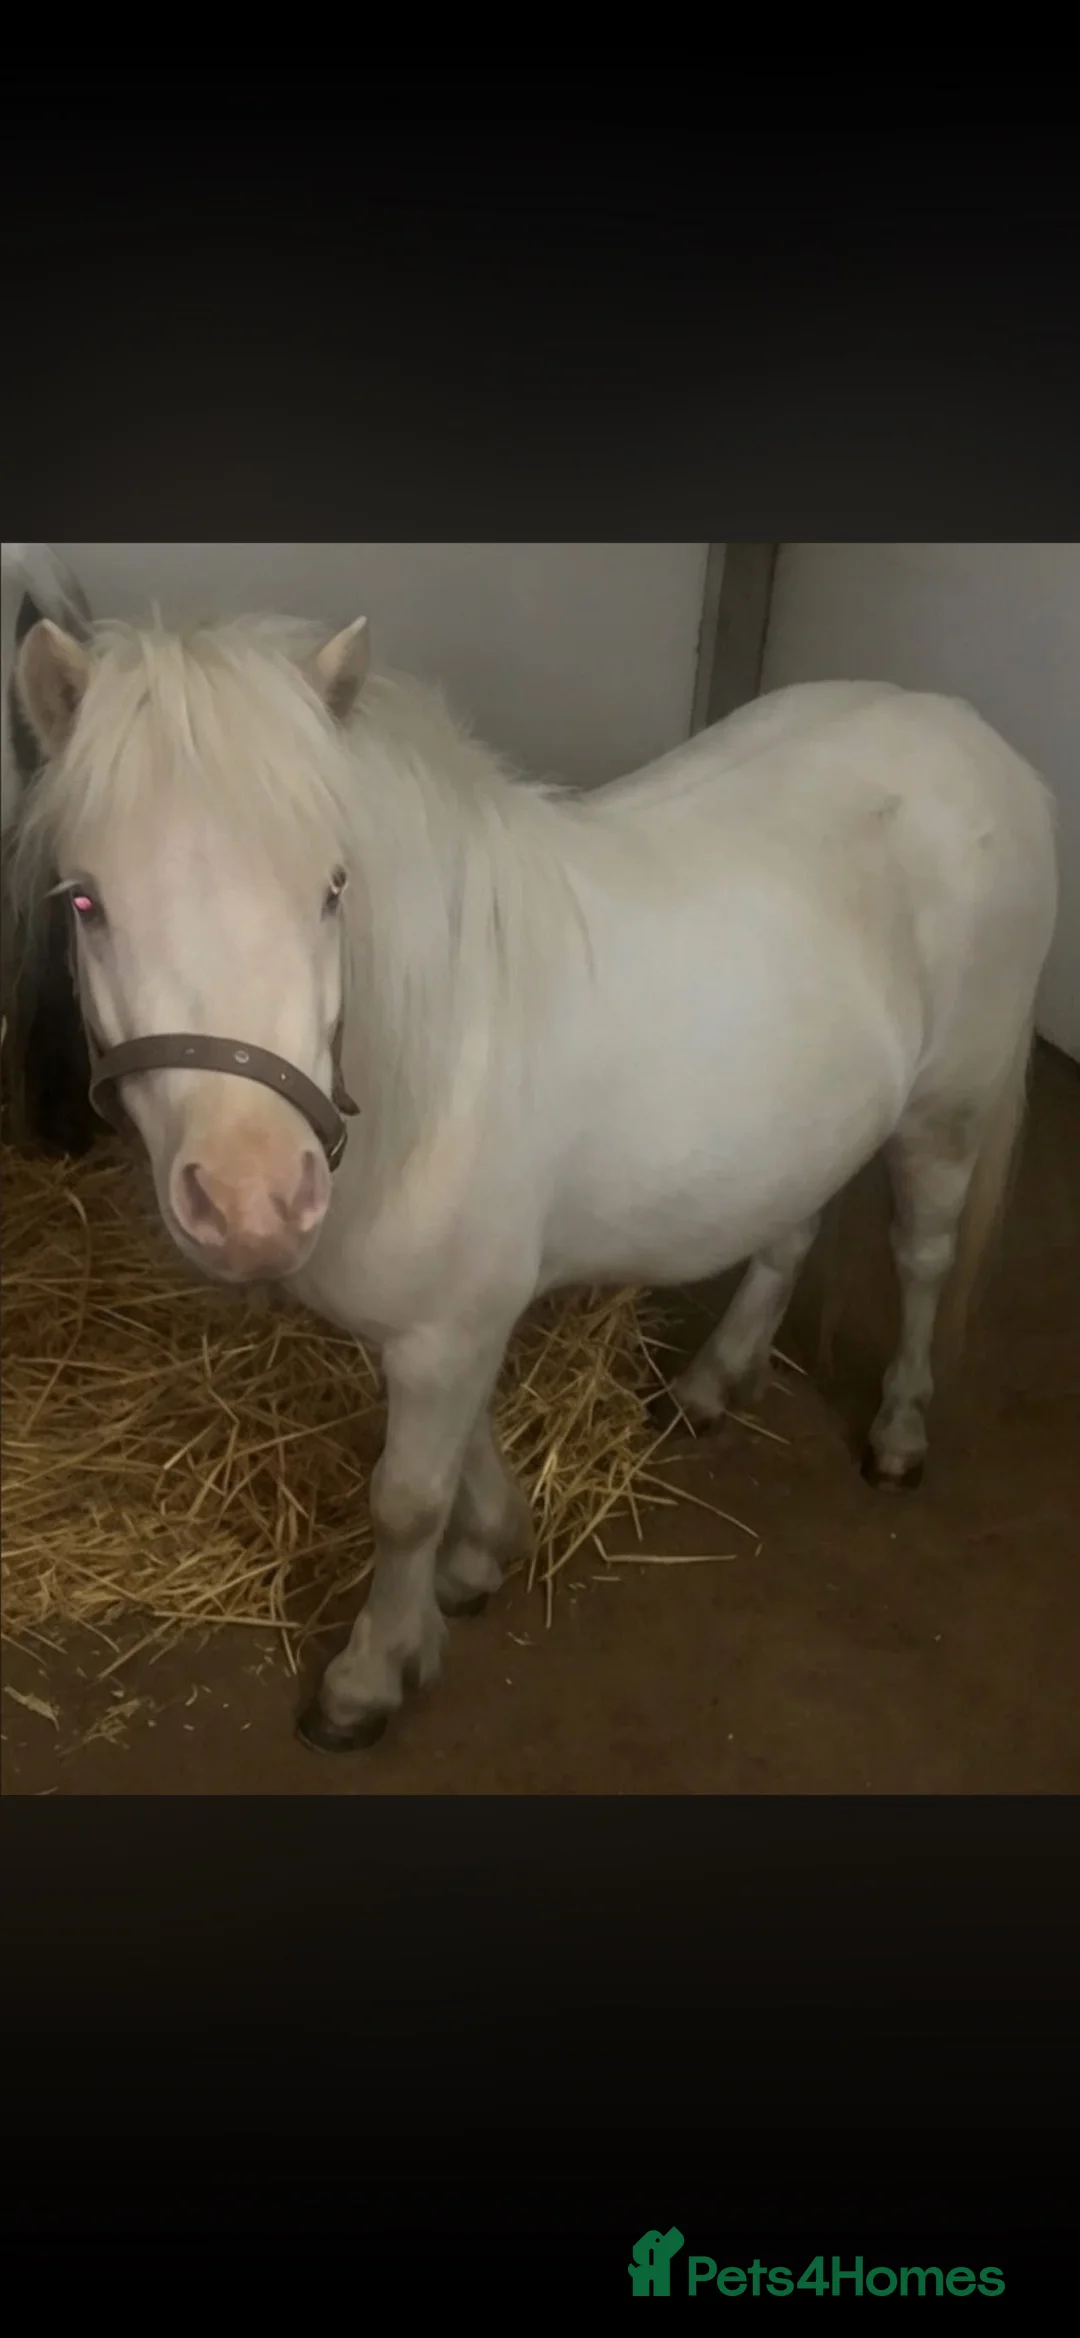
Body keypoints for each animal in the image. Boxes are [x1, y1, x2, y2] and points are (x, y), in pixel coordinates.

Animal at [12, 609, 1058, 1753]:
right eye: (85, 900)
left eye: (334, 889)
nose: (254, 1205)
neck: (435, 1057)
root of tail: (976, 739)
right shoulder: (445, 1327)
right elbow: (466, 1452)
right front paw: (480, 1560)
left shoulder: (447, 1330)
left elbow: (407, 1499)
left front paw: (371, 1676)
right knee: (789, 1230)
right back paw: (712, 1383)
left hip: (945, 1115)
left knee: (923, 1260)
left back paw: (900, 1434)